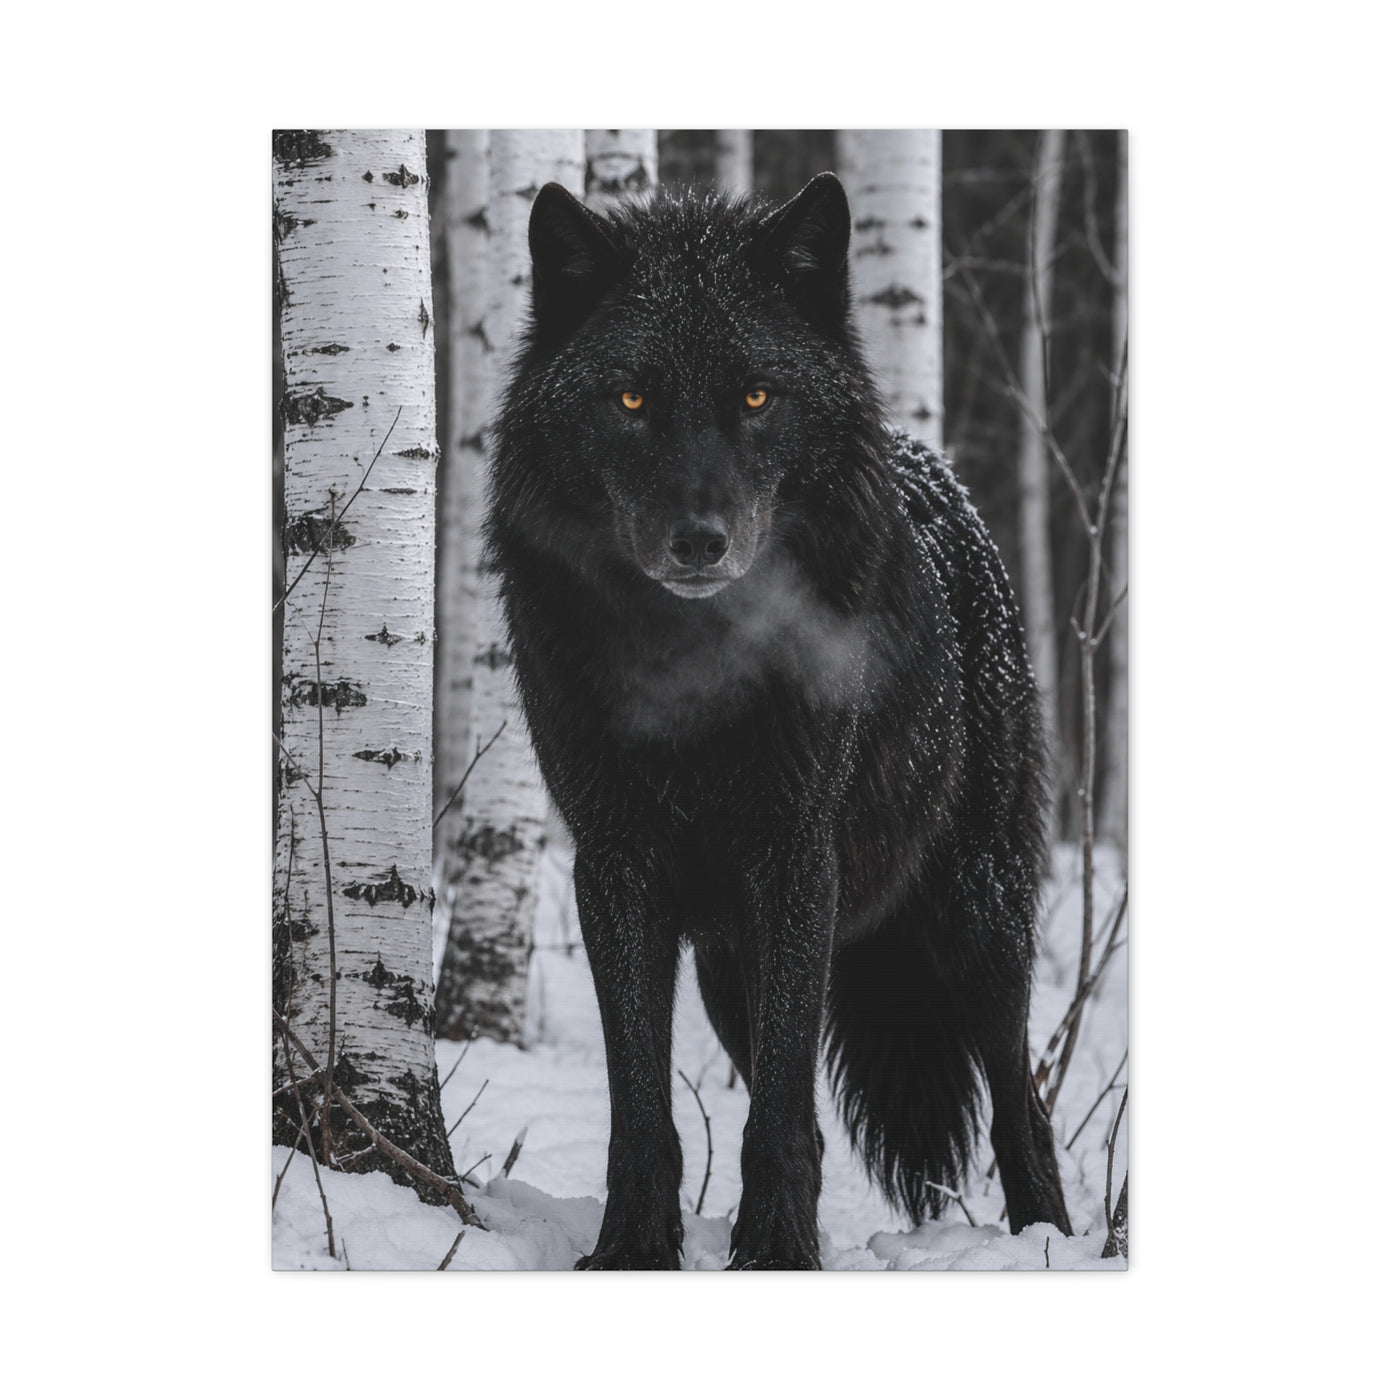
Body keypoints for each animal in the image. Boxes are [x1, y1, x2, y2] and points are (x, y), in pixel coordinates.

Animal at [486, 173, 1071, 1268]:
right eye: (631, 399)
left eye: (756, 398)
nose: (699, 540)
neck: (693, 670)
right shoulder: (615, 868)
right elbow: (645, 1106)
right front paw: (633, 1250)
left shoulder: (796, 859)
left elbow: (784, 1111)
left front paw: (776, 1253)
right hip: (731, 967)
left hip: (976, 917)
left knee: (1023, 1101)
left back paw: (1049, 1241)